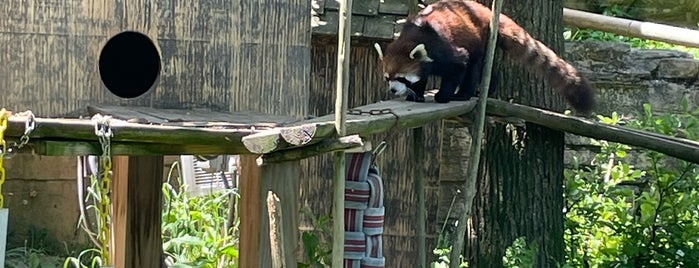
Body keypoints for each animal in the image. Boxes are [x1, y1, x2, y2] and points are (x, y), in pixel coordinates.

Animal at [378, 0, 596, 113]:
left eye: (402, 78)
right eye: (387, 78)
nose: (392, 90)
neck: (415, 36)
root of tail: (483, 10)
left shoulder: (443, 49)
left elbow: (458, 67)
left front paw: (443, 95)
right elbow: (422, 77)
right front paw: (417, 95)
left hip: (480, 40)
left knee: (475, 67)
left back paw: (465, 93)